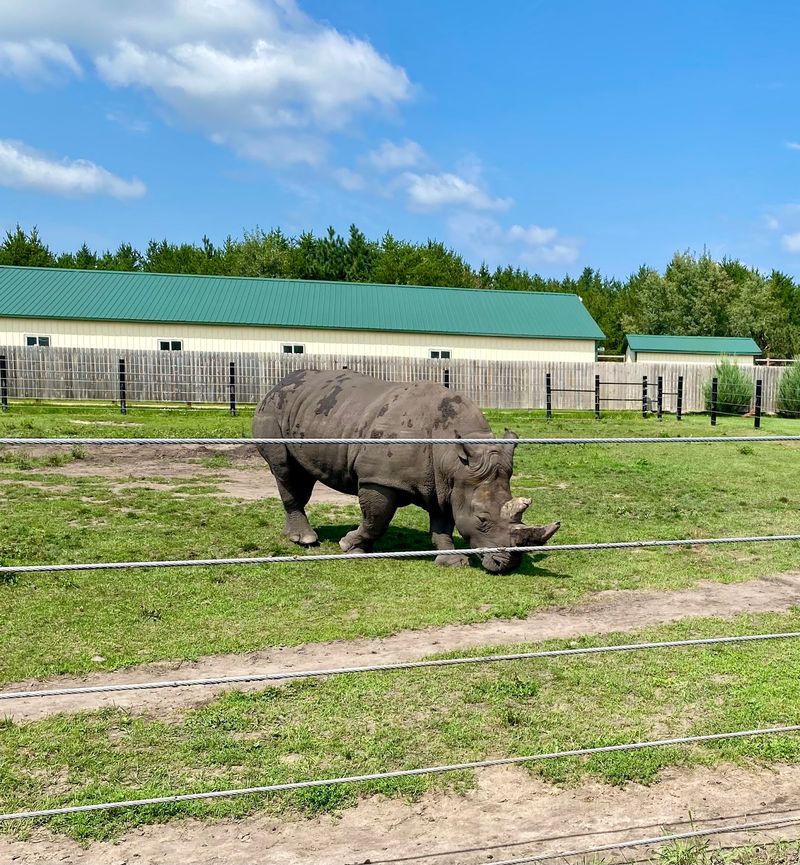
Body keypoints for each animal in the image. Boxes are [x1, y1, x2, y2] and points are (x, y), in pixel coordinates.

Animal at [253, 369, 560, 573]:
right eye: (482, 519)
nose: (508, 565)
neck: (451, 456)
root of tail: (276, 385)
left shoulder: (448, 484)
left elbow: (443, 523)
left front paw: (452, 561)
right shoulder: (379, 479)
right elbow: (376, 520)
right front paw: (350, 546)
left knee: (301, 476)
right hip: (272, 411)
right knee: (285, 471)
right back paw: (305, 540)